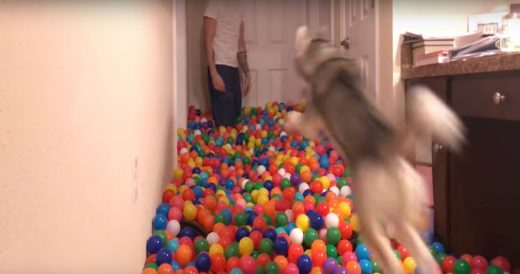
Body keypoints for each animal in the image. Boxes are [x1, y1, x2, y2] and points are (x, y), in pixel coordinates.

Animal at [286, 25, 466, 274]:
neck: (326, 57)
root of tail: (388, 147)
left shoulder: (312, 120)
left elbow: (299, 120)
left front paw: (288, 120)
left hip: (370, 222)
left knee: (391, 261)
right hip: (401, 218)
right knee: (422, 255)